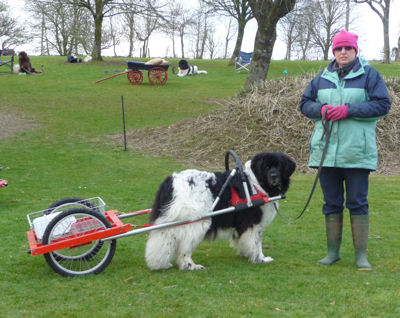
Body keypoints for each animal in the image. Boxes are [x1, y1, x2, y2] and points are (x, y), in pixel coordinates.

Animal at [145, 152, 296, 270]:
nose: (274, 176)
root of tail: (170, 181)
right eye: (267, 167)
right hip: (197, 222)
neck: (256, 183)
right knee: (184, 248)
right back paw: (191, 266)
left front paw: (245, 253)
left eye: (279, 166)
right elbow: (256, 242)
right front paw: (260, 259)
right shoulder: (253, 223)